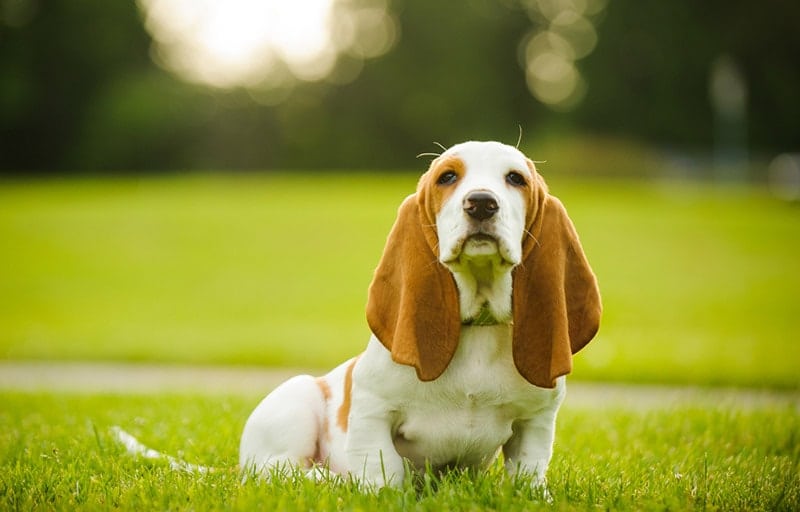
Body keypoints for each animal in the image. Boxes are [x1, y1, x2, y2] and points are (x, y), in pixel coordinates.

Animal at [238, 139, 600, 488]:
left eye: (515, 178)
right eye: (448, 177)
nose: (481, 203)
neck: (477, 327)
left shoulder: (536, 421)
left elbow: (528, 472)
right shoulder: (373, 410)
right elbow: (384, 469)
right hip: (297, 400)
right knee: (277, 469)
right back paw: (329, 478)